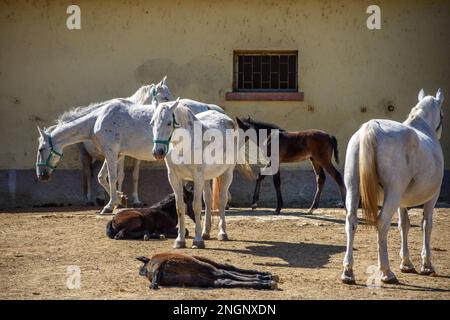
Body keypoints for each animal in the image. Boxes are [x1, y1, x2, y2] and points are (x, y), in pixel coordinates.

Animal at [136, 252, 278, 290]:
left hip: (203, 272)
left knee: (227, 271)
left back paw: (265, 277)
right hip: (205, 272)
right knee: (225, 275)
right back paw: (265, 280)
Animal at [151, 99, 255, 249]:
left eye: (169, 123)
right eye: (152, 123)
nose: (157, 152)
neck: (184, 146)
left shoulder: (198, 177)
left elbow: (196, 206)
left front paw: (198, 240)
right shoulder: (174, 177)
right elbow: (180, 207)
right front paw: (180, 240)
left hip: (227, 174)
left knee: (222, 200)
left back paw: (222, 233)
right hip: (207, 178)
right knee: (208, 199)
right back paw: (206, 231)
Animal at [342, 89, 444, 284]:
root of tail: (372, 127)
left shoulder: (401, 203)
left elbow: (404, 225)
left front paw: (406, 263)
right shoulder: (432, 198)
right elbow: (426, 225)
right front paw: (426, 265)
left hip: (354, 188)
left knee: (351, 221)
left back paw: (348, 272)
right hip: (393, 193)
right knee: (382, 223)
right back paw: (386, 272)